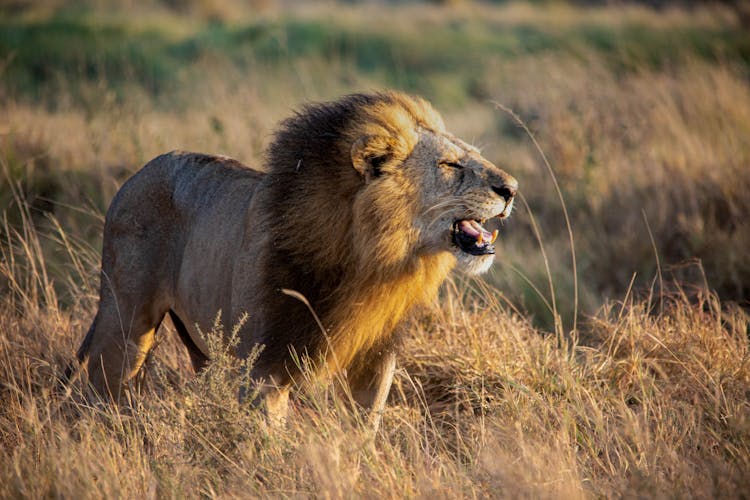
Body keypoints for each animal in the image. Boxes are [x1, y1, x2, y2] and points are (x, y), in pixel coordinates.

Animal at [79, 91, 520, 426]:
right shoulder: (264, 367)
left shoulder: (375, 362)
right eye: (451, 165)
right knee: (105, 386)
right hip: (127, 322)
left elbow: (360, 434)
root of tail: (137, 175)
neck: (372, 259)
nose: (512, 188)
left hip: (203, 347)